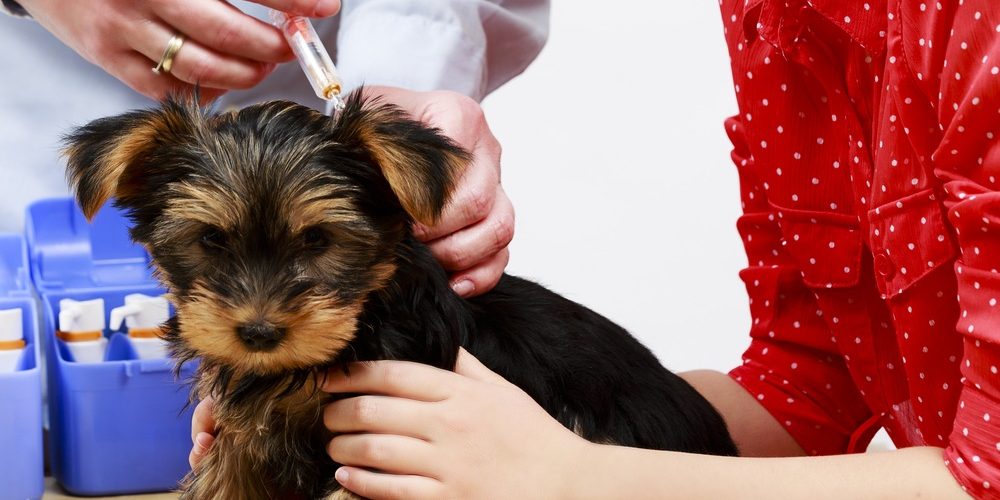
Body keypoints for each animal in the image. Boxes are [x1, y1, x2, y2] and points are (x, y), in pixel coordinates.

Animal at [60, 91, 736, 500]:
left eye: (319, 240)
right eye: (210, 240)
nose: (258, 331)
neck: (360, 325)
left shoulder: (387, 447)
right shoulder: (248, 438)